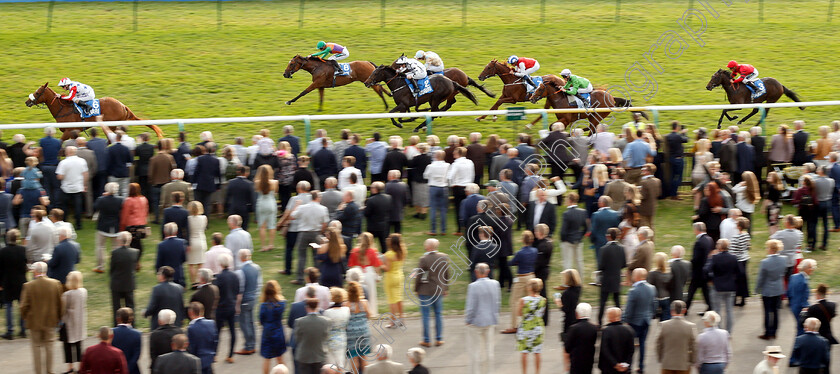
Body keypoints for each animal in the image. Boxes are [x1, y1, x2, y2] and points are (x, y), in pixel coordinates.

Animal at [23, 82, 163, 141]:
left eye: (37, 92)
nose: (27, 102)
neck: (63, 109)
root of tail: (123, 106)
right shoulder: (74, 132)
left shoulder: (68, 131)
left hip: (112, 125)